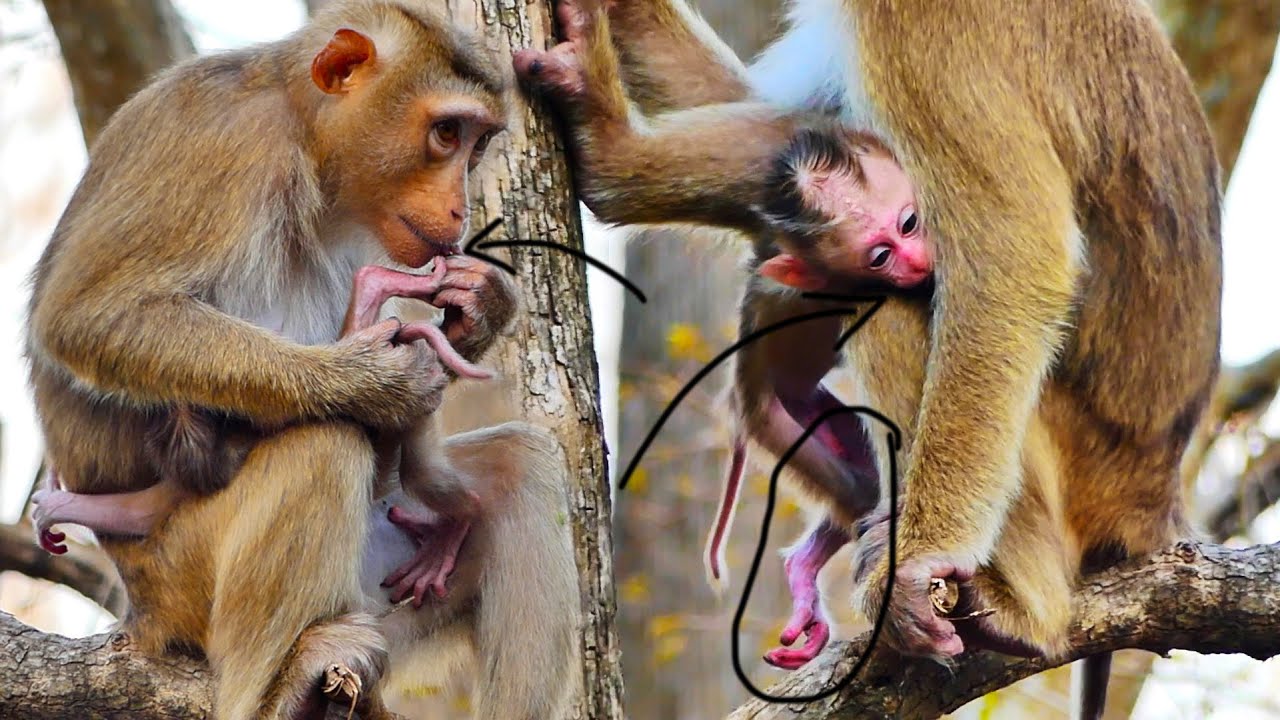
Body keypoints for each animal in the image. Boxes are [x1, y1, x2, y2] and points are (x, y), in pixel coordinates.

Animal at [25, 3, 578, 718]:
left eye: (477, 143)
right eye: (446, 132)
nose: (459, 208)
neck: (306, 142)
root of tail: (141, 612)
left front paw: (481, 306)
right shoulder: (226, 141)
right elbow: (90, 316)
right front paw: (375, 382)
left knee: (518, 466)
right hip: (180, 577)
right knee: (323, 444)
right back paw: (275, 690)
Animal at [520, 0, 1223, 714]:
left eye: (910, 227)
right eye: (889, 241)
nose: (909, 255)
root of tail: (1155, 502)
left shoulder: (922, 27)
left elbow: (1014, 264)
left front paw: (913, 569)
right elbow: (776, 115)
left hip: (1082, 466)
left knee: (888, 313)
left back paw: (1029, 608)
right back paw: (616, 161)